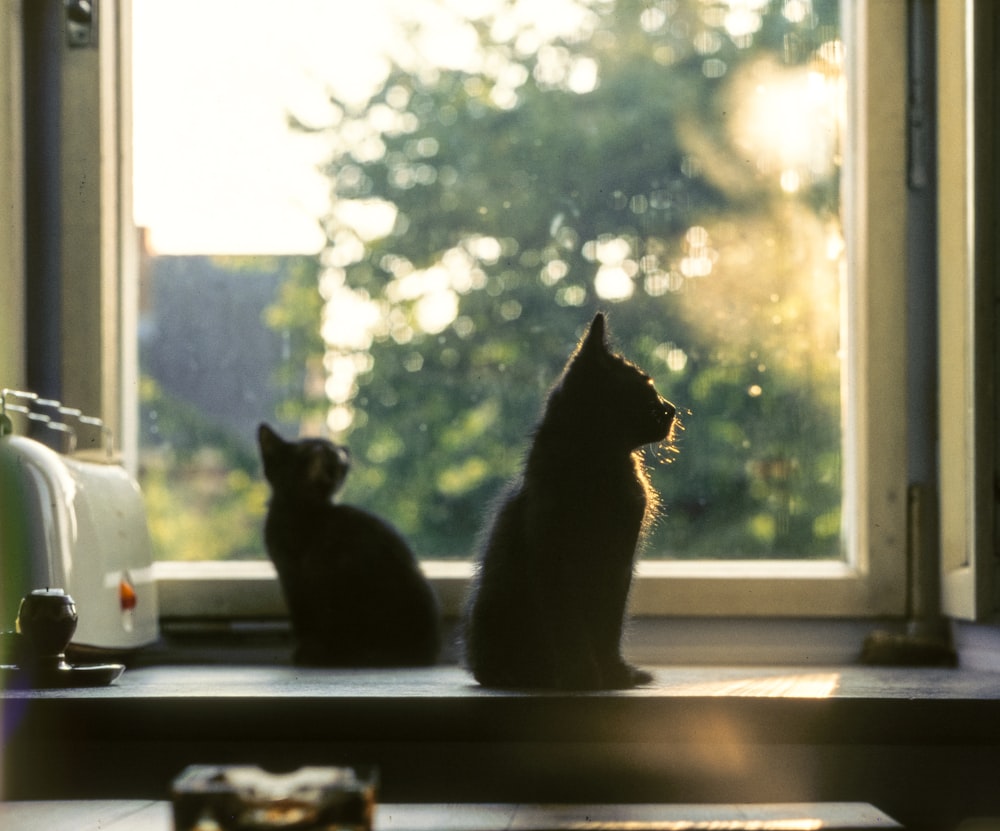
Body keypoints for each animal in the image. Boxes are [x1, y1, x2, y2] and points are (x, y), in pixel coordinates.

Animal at [256, 426, 440, 668]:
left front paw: (308, 652)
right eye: (337, 458)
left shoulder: (304, 580)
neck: (300, 509)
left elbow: (308, 619)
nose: (342, 449)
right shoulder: (290, 576)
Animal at [460, 312, 672, 688]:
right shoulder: (553, 558)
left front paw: (615, 672)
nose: (672, 409)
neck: (599, 461)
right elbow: (569, 624)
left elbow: (609, 623)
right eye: (646, 387)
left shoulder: (620, 561)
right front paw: (583, 674)